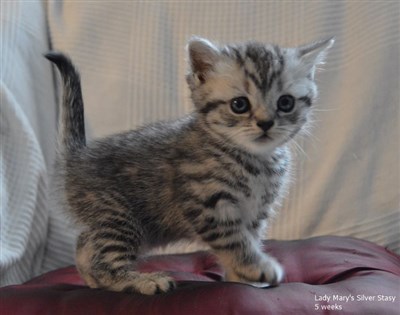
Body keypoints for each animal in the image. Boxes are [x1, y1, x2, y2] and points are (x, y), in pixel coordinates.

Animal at [46, 37, 334, 296]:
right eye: (239, 104)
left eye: (285, 102)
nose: (265, 123)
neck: (254, 161)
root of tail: (77, 156)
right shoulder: (209, 205)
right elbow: (236, 242)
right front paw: (257, 268)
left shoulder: (256, 212)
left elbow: (249, 241)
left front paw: (242, 278)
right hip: (118, 215)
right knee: (104, 261)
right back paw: (140, 281)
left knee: (84, 244)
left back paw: (90, 278)